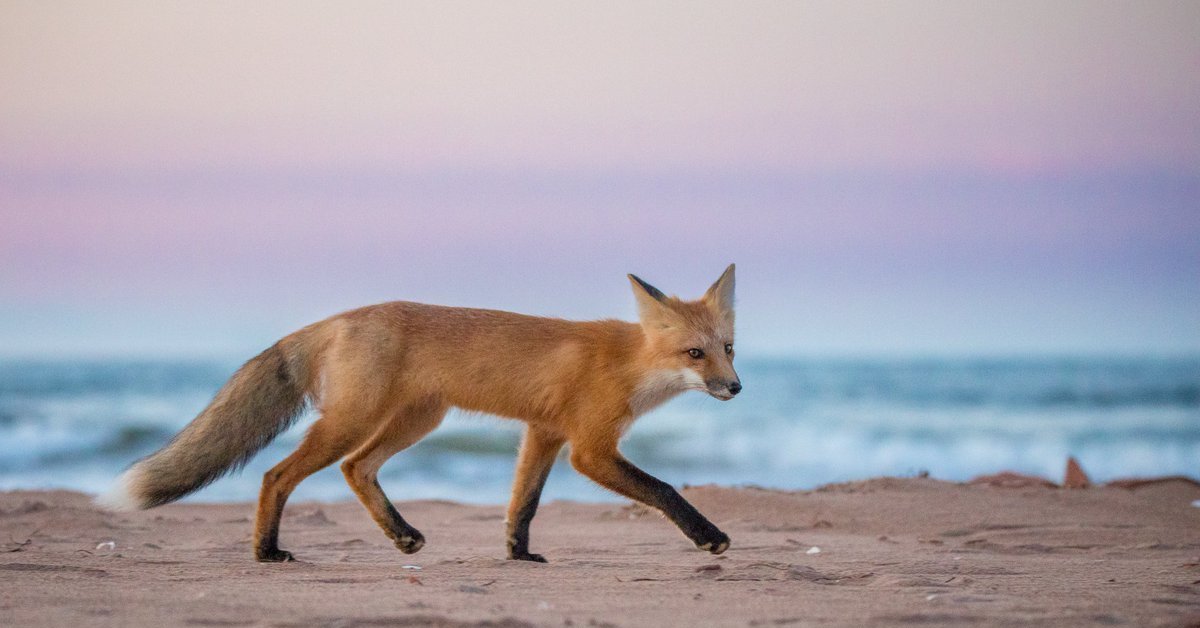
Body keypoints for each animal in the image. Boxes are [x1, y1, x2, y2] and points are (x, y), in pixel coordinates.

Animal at [100, 265, 739, 564]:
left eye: (728, 347)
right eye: (694, 354)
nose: (735, 388)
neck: (629, 364)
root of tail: (339, 318)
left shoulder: (543, 434)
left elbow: (522, 504)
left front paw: (519, 554)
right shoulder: (588, 448)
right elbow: (663, 490)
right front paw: (708, 536)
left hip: (413, 423)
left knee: (356, 470)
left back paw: (401, 535)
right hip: (354, 423)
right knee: (277, 474)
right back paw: (266, 552)